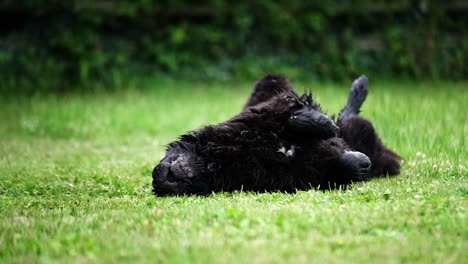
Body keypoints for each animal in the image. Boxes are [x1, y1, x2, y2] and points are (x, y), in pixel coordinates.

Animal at [152, 74, 400, 196]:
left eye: (164, 160)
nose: (161, 178)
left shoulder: (264, 111)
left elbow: (292, 115)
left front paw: (321, 124)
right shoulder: (299, 176)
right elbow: (343, 166)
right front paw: (357, 162)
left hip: (270, 81)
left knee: (345, 116)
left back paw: (359, 88)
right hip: (373, 147)